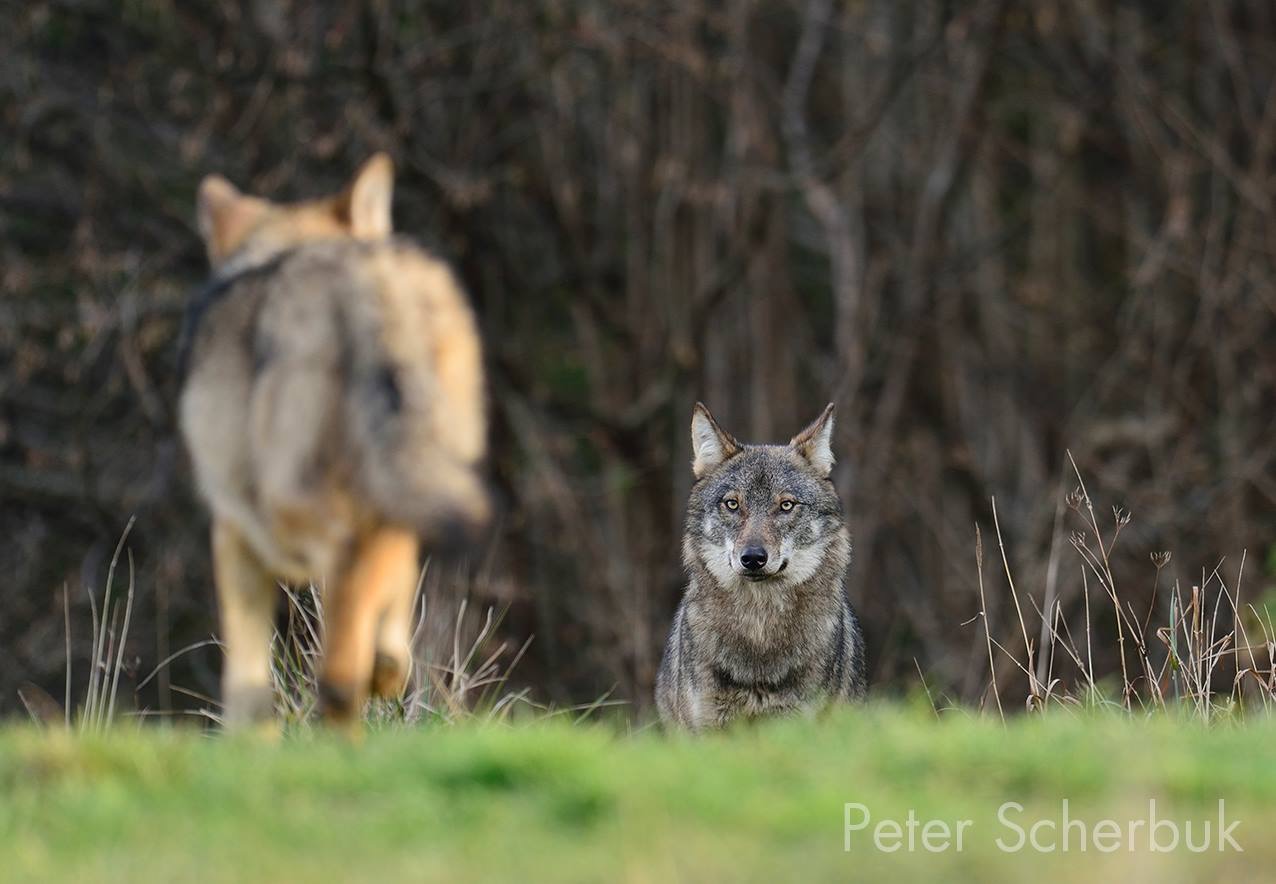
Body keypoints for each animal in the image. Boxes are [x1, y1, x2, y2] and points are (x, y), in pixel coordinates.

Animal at [174, 153, 482, 729]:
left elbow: (248, 689)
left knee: (349, 595)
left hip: (302, 499)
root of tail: (362, 284)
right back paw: (377, 681)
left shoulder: (233, 530)